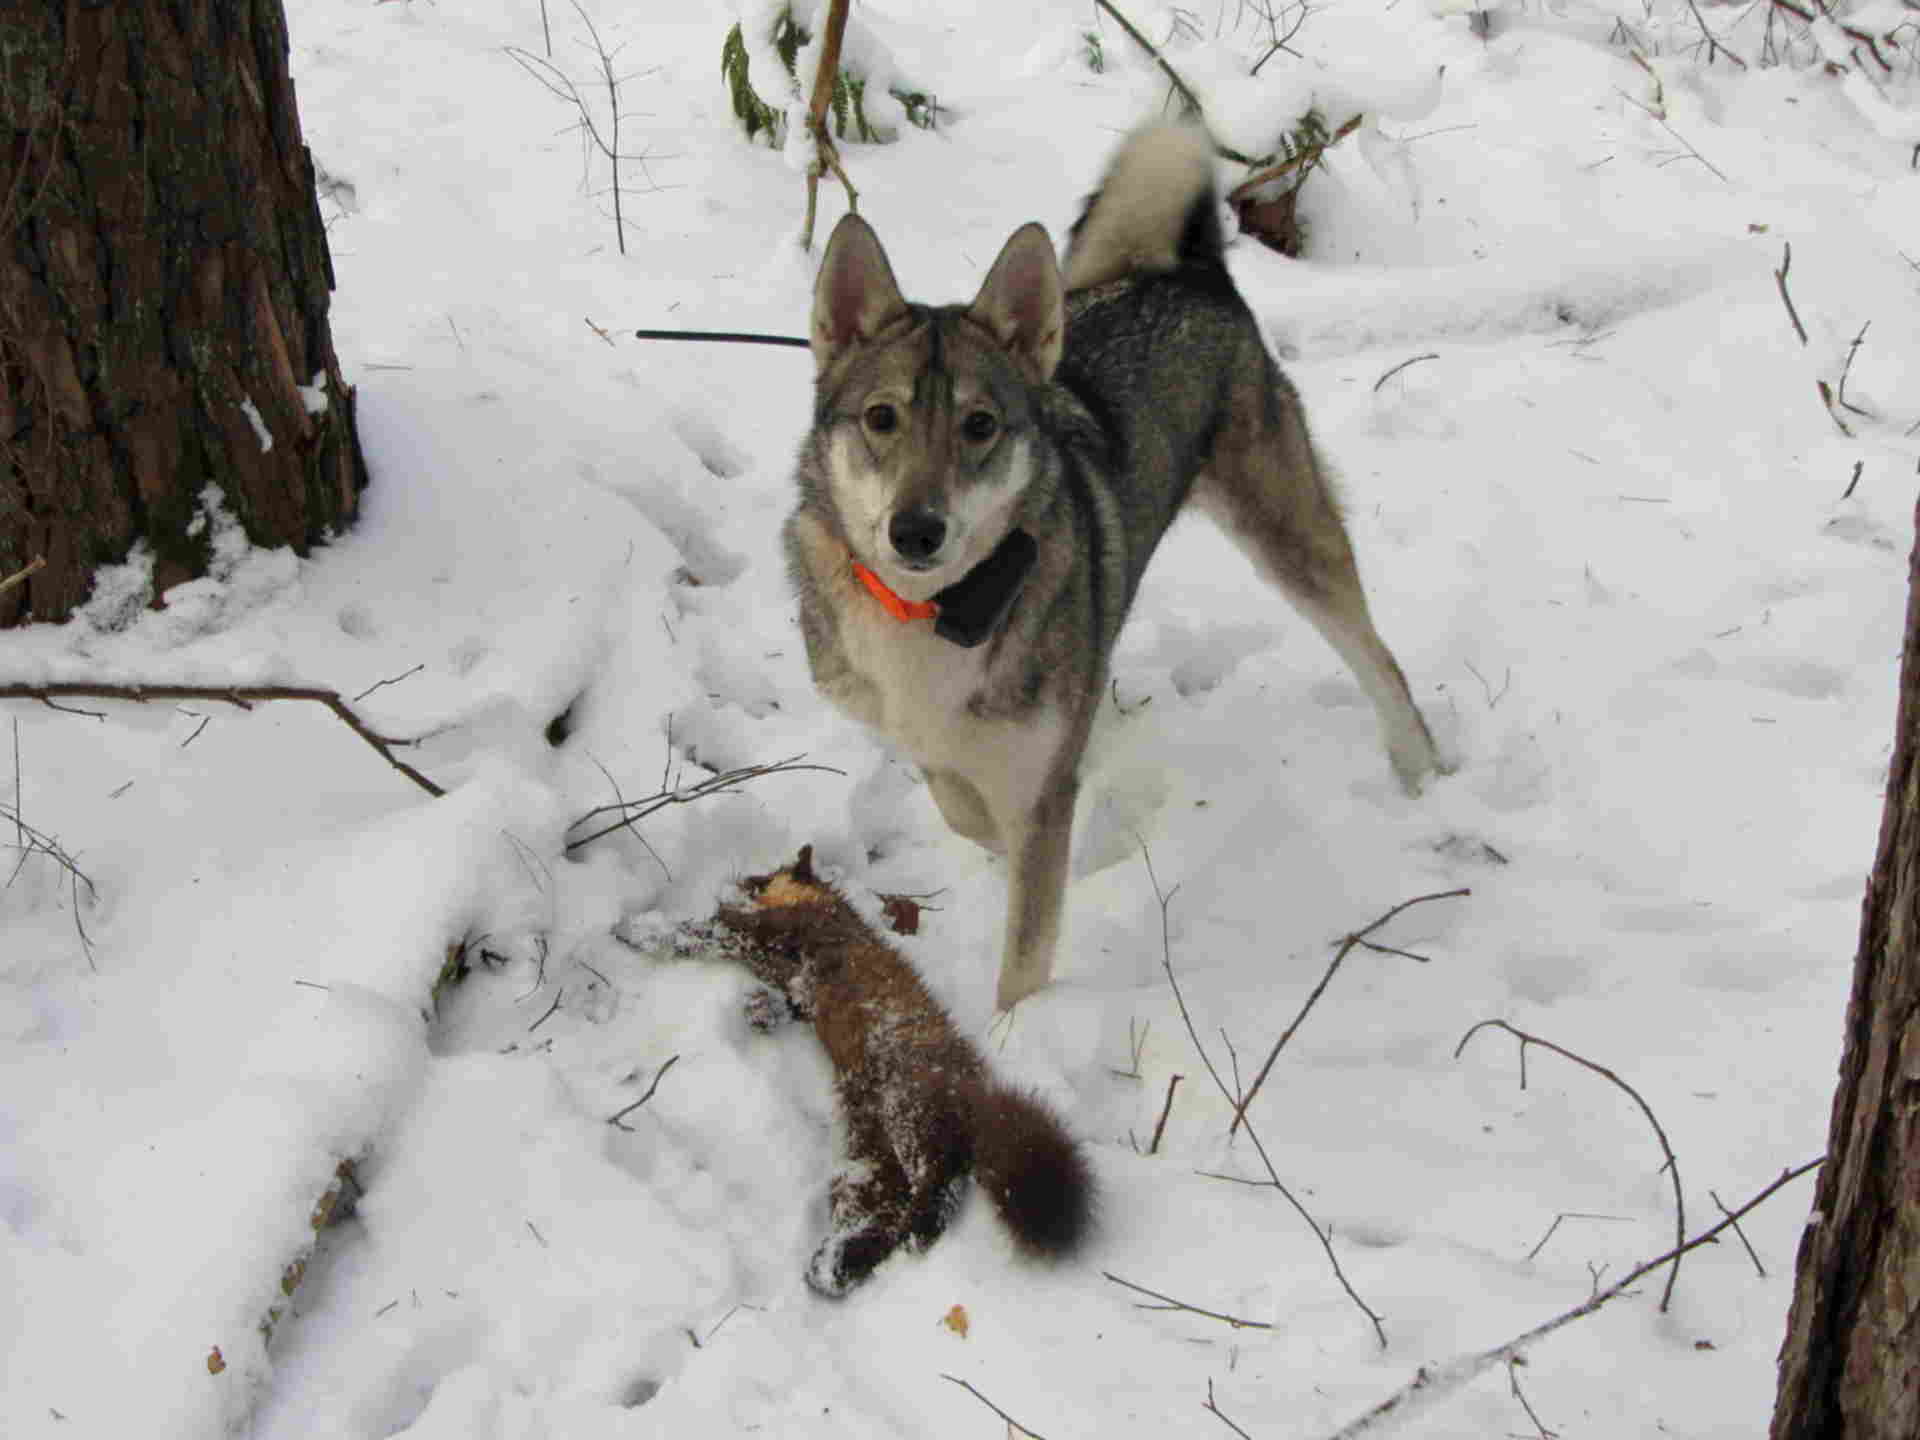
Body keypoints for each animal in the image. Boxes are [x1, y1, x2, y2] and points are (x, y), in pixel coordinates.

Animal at [783, 121, 1443, 1013]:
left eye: (980, 425)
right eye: (881, 418)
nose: (916, 530)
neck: (934, 610)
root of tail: (1194, 274)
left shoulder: (1037, 788)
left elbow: (1025, 946)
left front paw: (1018, 1035)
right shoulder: (921, 733)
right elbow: (961, 806)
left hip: (1290, 539)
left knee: (1380, 661)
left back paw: (1420, 770)